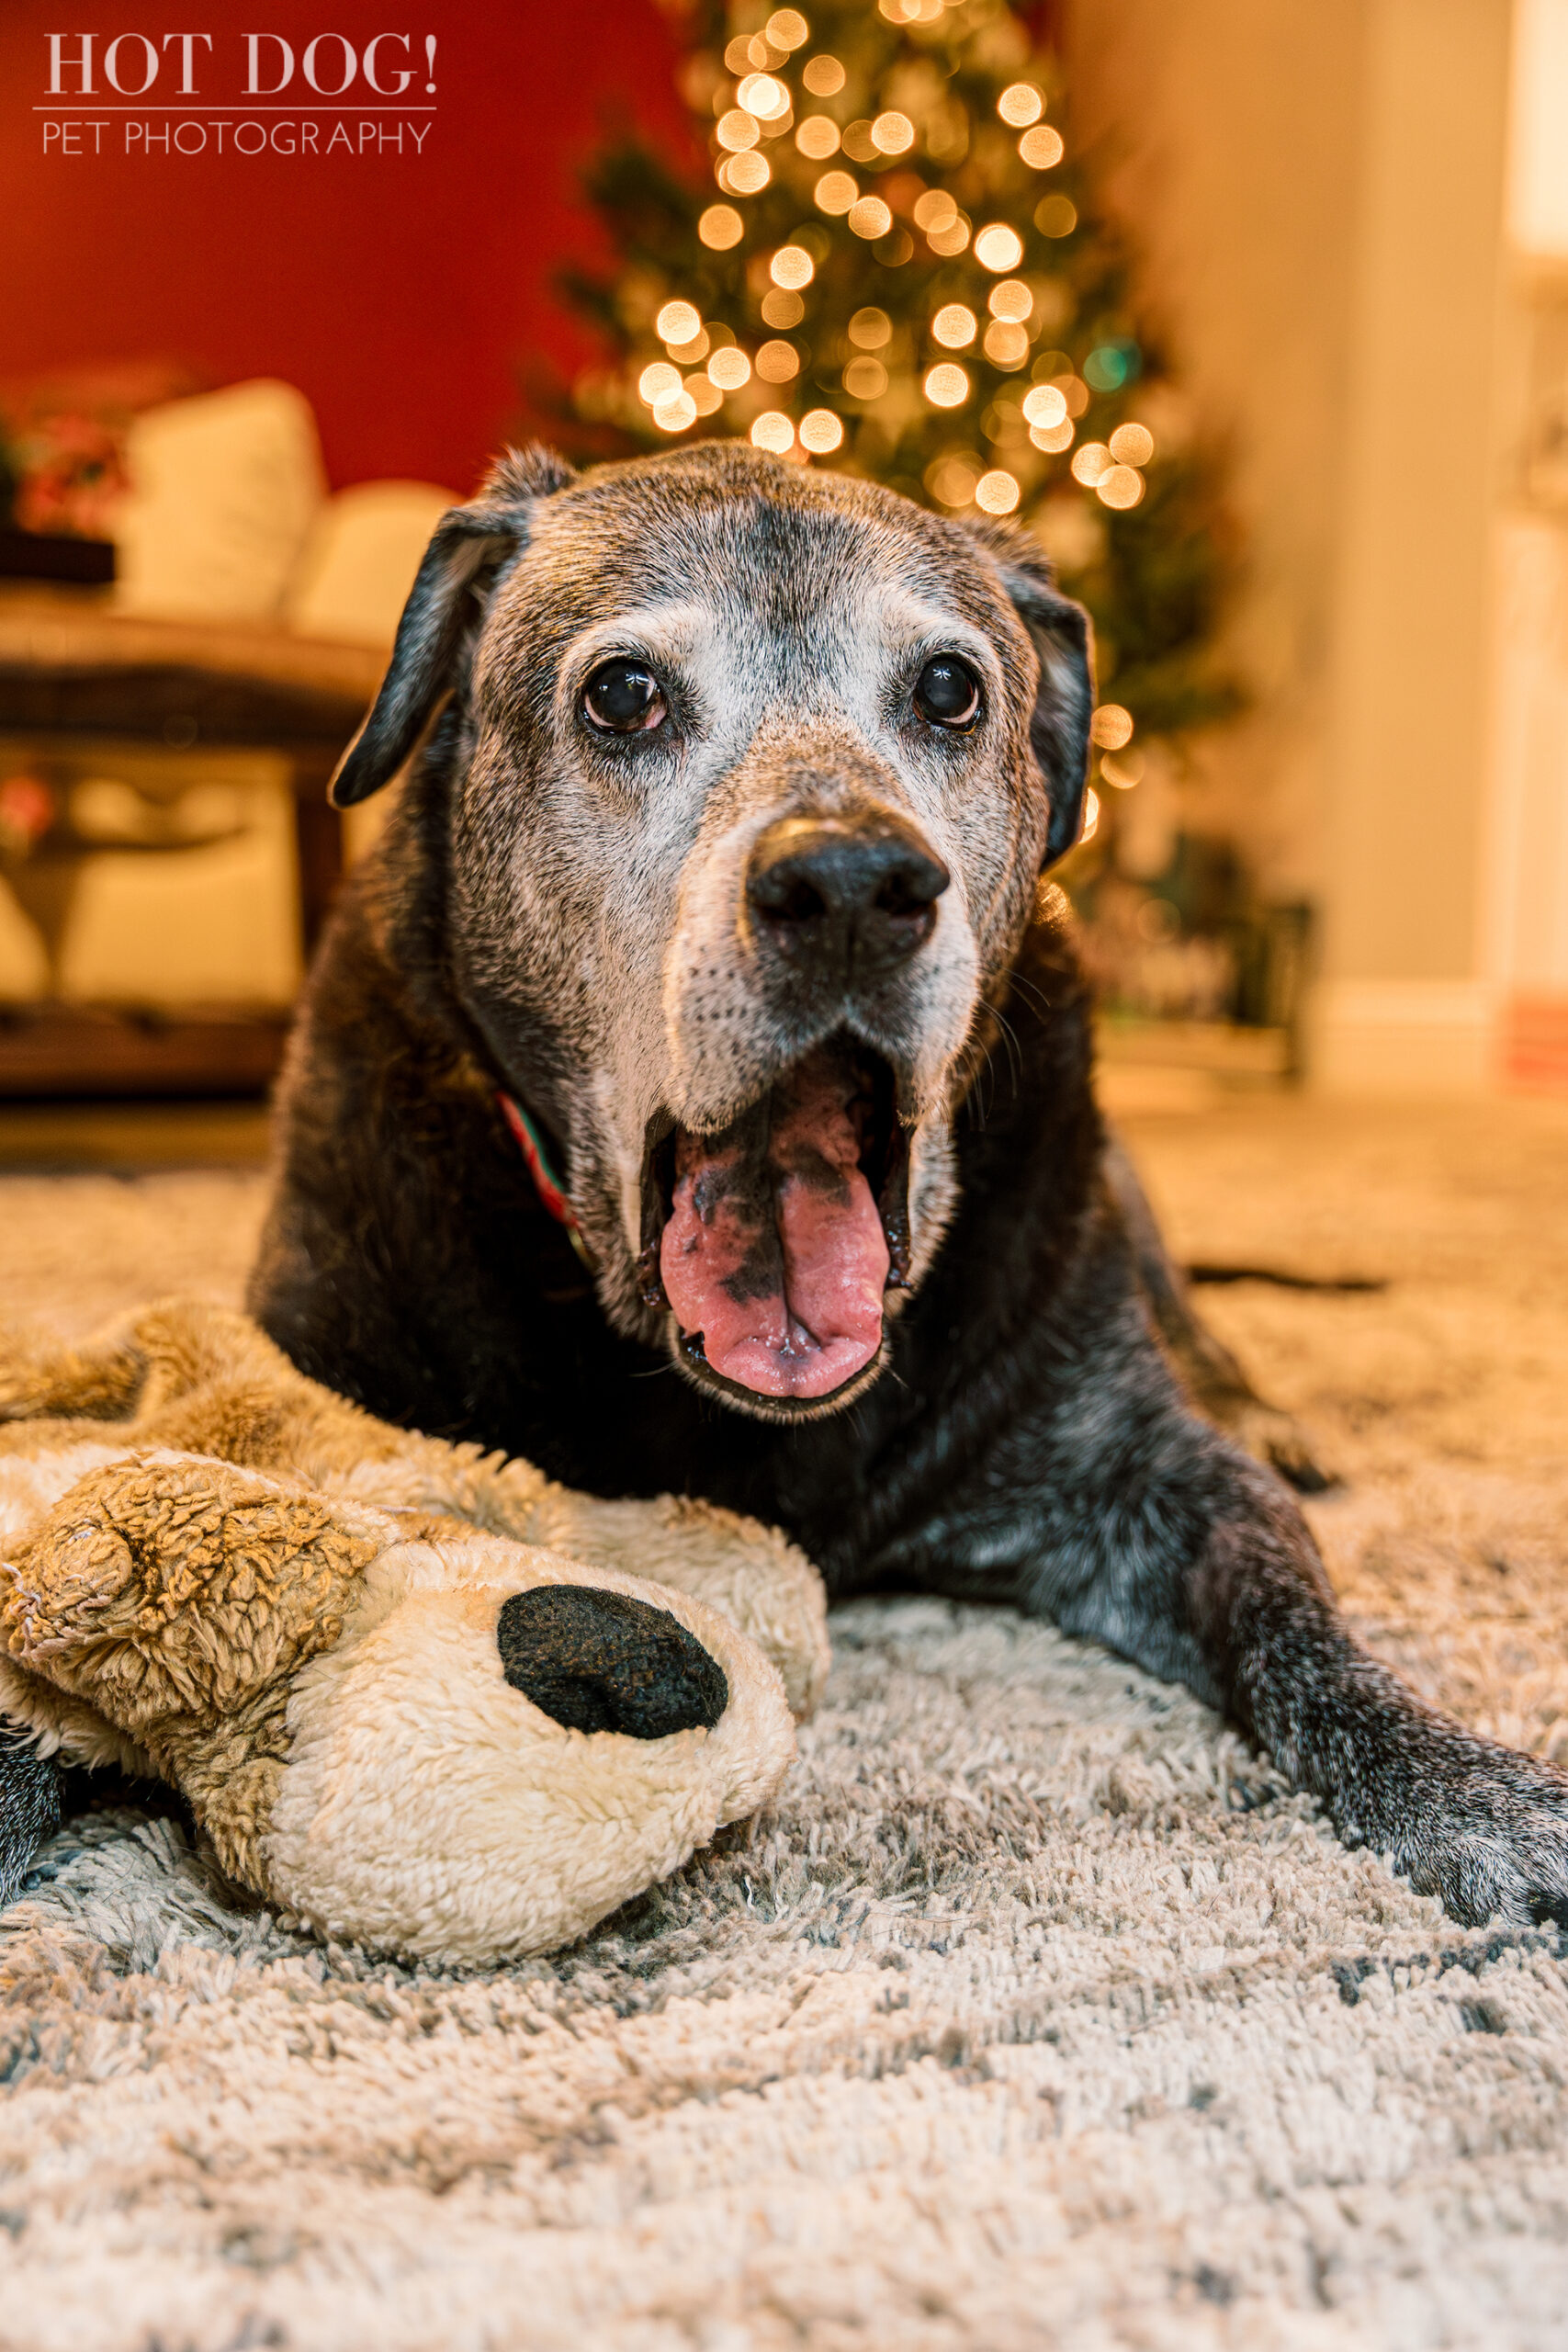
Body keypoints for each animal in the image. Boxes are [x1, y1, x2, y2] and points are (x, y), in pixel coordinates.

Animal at [6, 444, 1561, 1928]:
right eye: (622, 695)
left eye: (948, 688)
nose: (855, 884)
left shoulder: (1136, 1469)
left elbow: (1290, 1616)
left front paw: (1464, 1784)